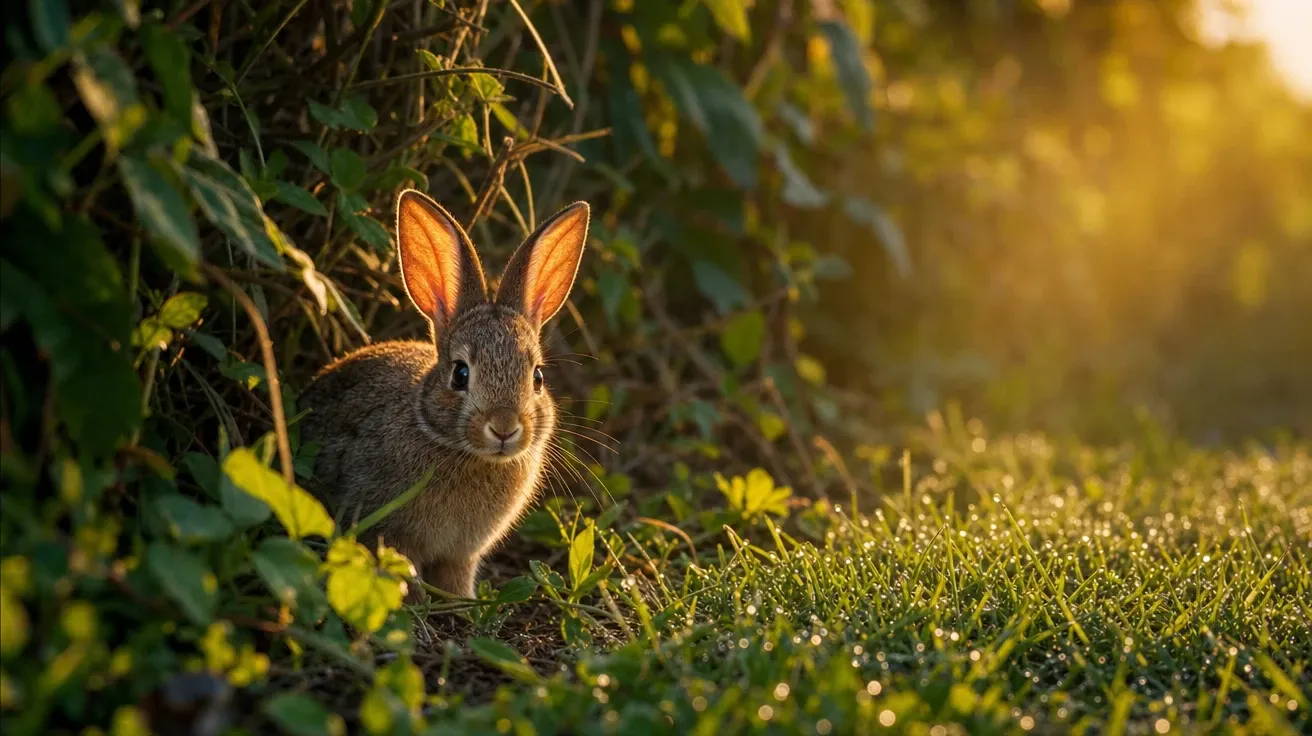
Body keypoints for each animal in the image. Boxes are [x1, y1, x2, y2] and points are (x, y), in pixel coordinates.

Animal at [299, 189, 589, 600]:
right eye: (460, 374)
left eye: (537, 377)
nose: (504, 428)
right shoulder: (386, 529)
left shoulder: (461, 555)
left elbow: (456, 577)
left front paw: (463, 601)